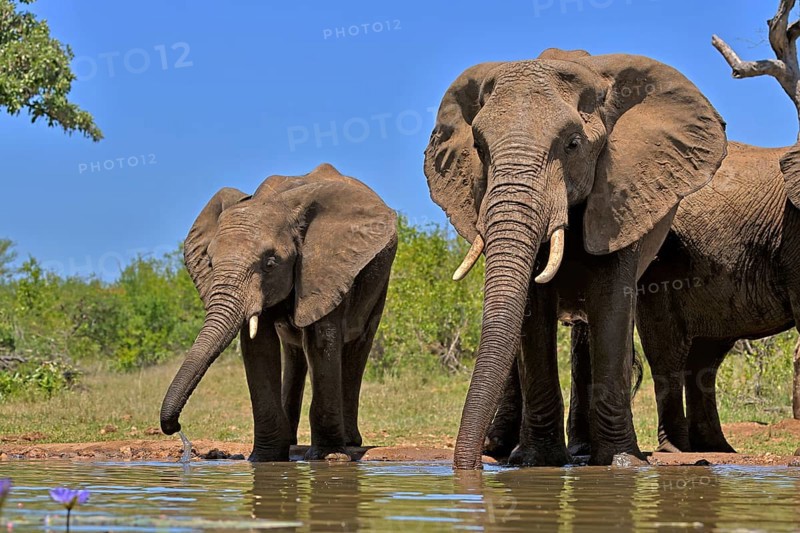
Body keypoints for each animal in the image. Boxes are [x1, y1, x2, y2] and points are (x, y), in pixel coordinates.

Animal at [160, 163, 397, 461]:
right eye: (211, 263)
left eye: (270, 263)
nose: (175, 427)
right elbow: (259, 347)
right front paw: (265, 459)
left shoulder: (326, 268)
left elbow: (322, 340)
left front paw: (329, 457)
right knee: (295, 352)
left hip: (380, 278)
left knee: (357, 348)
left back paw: (351, 442)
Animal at [424, 48, 727, 468]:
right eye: (480, 149)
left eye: (572, 145)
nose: (466, 471)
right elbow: (530, 312)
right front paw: (536, 462)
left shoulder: (622, 193)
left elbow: (612, 306)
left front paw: (622, 462)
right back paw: (514, 449)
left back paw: (585, 451)